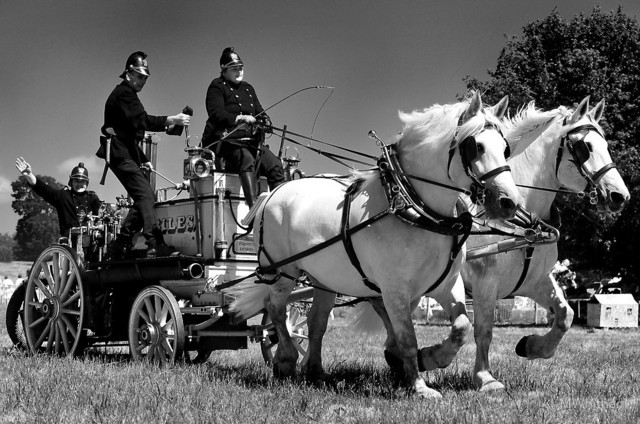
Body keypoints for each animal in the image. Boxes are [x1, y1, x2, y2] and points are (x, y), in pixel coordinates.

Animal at [228, 92, 521, 399]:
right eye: (476, 146)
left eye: (505, 148)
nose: (509, 202)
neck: (415, 207)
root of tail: (272, 193)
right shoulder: (394, 290)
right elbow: (407, 337)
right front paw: (419, 385)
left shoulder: (447, 284)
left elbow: (462, 327)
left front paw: (431, 358)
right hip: (284, 271)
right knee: (276, 309)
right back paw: (286, 359)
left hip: (323, 280)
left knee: (316, 323)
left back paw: (316, 371)